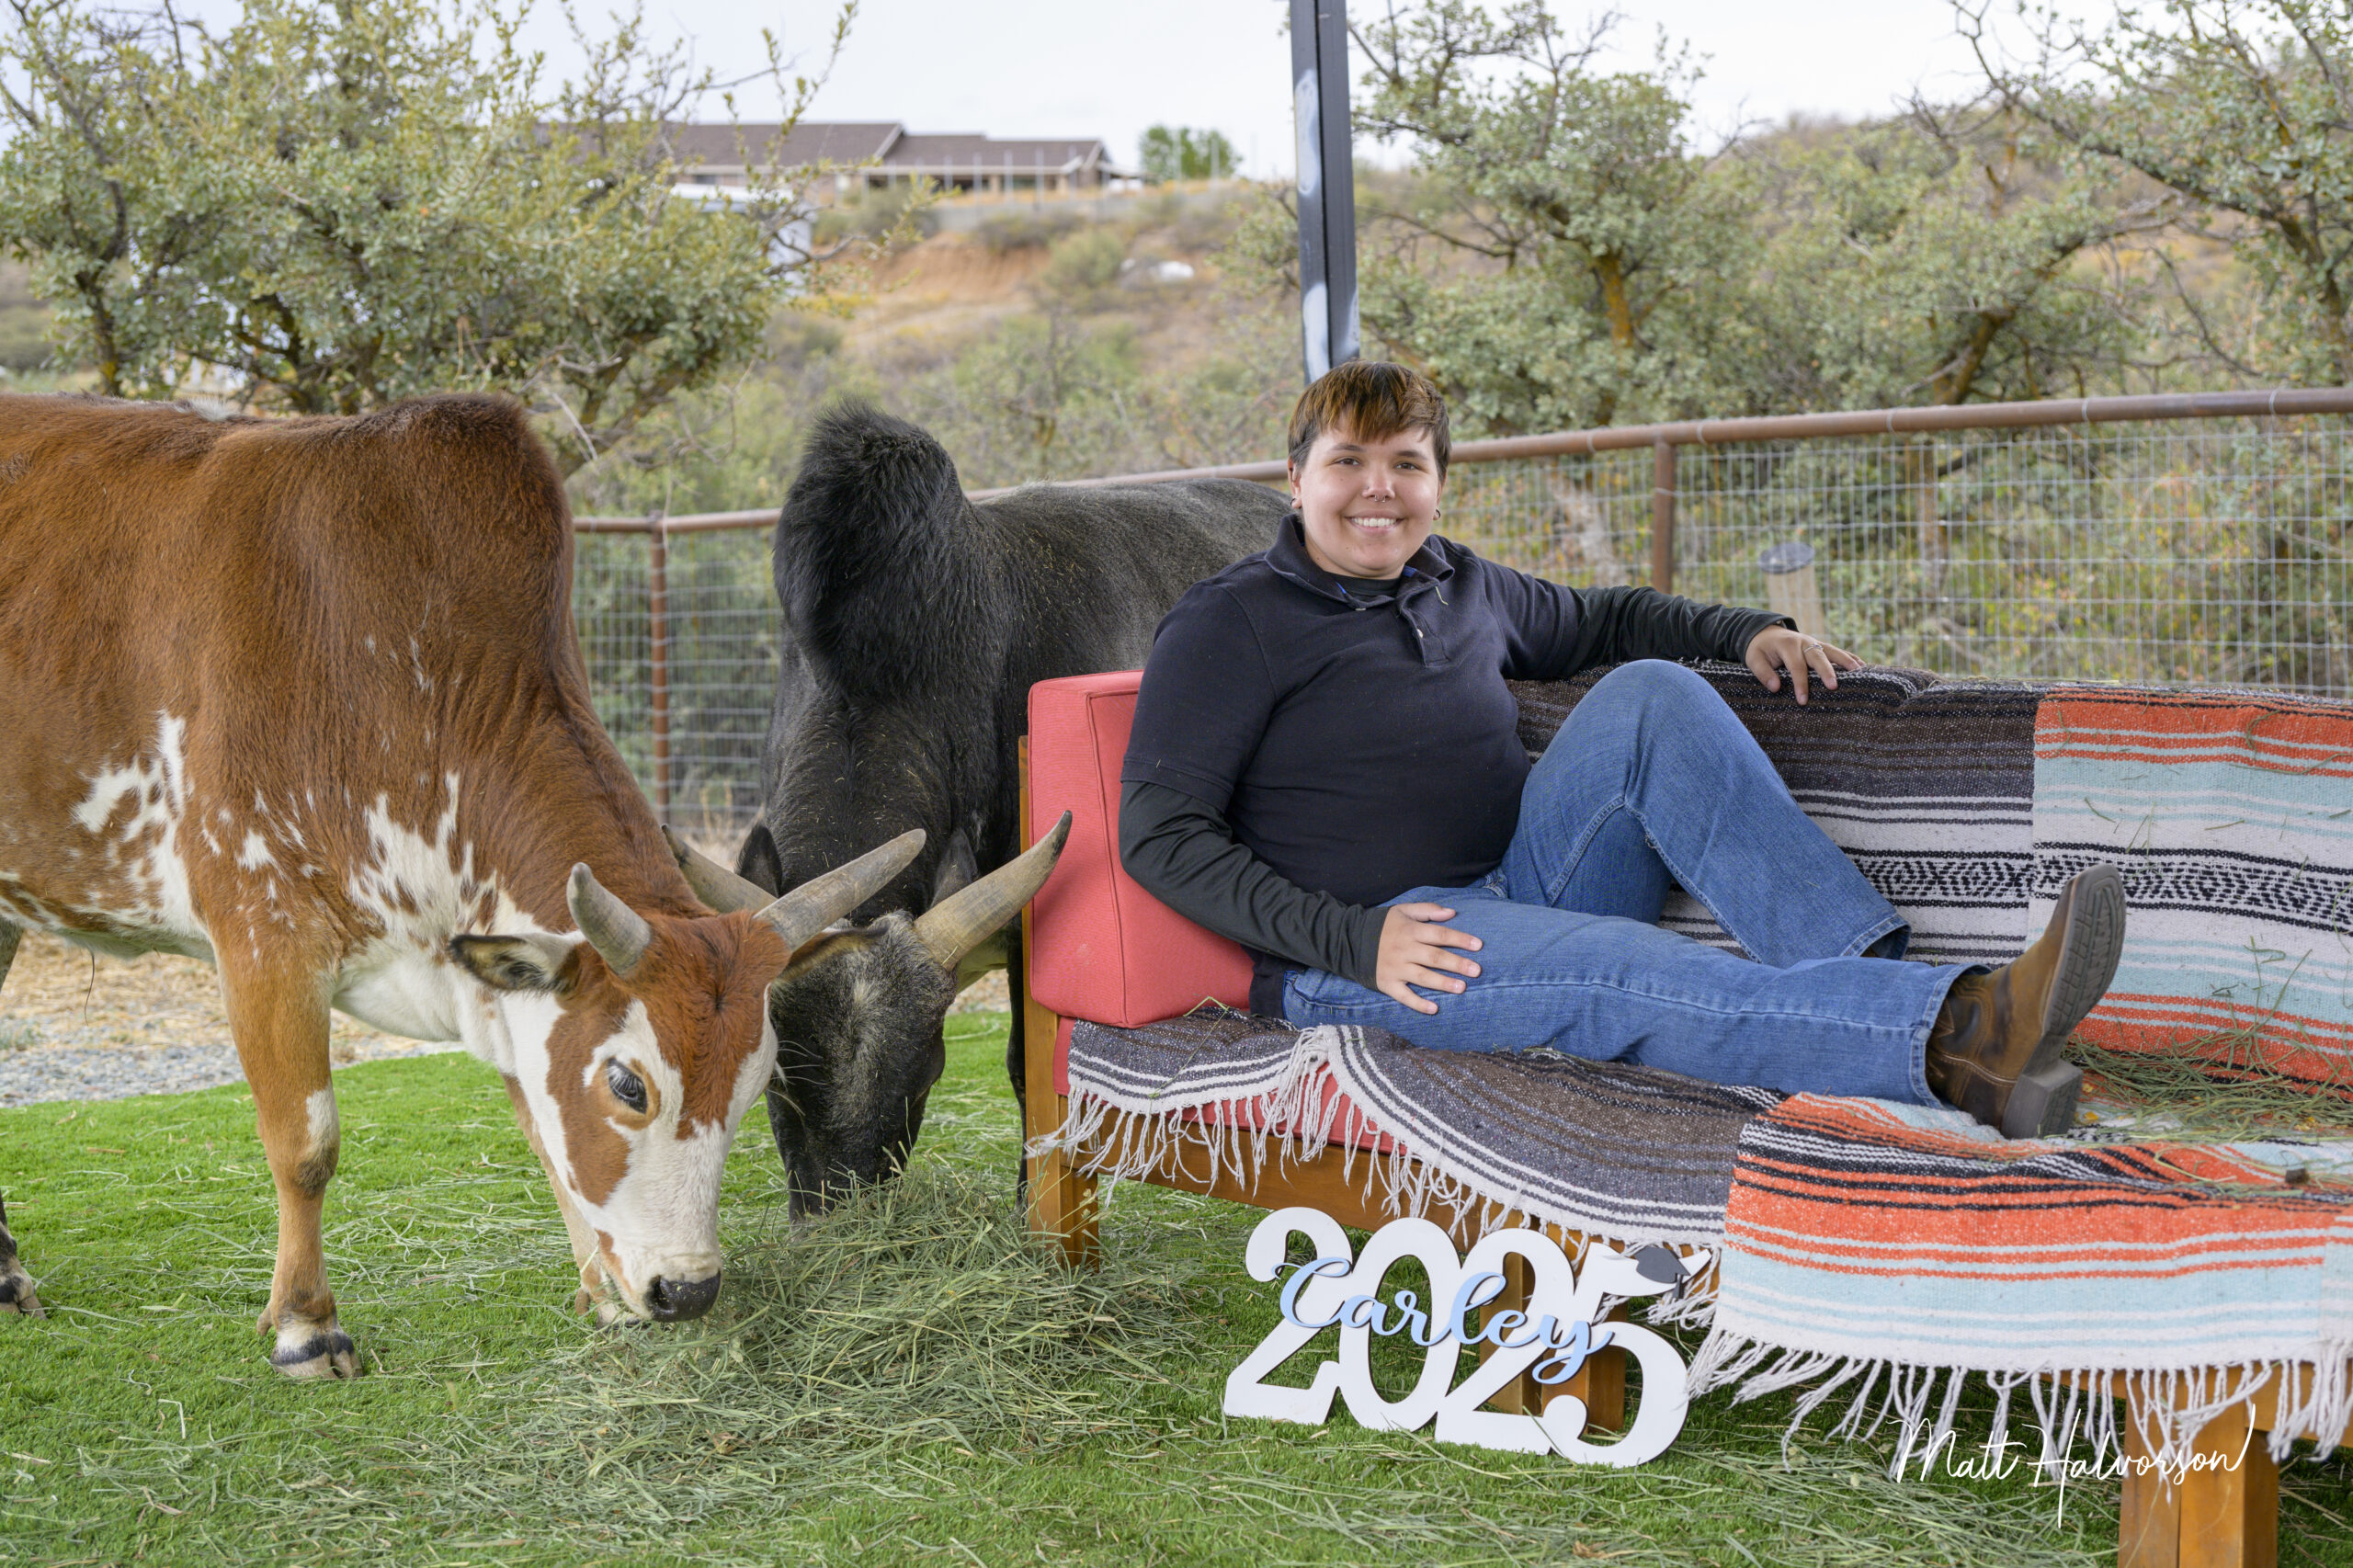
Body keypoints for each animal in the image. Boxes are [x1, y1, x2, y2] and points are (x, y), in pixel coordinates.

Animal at [2, 391, 936, 1365]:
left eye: (760, 1083)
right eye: (629, 1085)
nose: (688, 1288)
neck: (402, 679)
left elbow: (541, 1131)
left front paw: (602, 1296)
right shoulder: (263, 938)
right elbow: (306, 1143)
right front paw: (305, 1324)